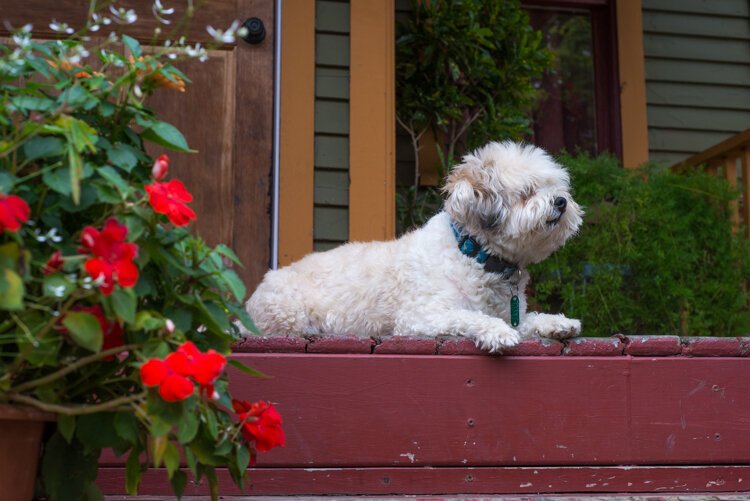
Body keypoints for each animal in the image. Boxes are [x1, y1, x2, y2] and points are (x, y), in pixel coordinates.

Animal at [247, 142, 588, 352]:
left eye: (556, 188)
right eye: (527, 192)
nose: (561, 201)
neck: (475, 255)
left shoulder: (511, 311)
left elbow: (529, 320)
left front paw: (558, 323)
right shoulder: (420, 317)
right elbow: (469, 317)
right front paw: (498, 332)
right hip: (287, 315)